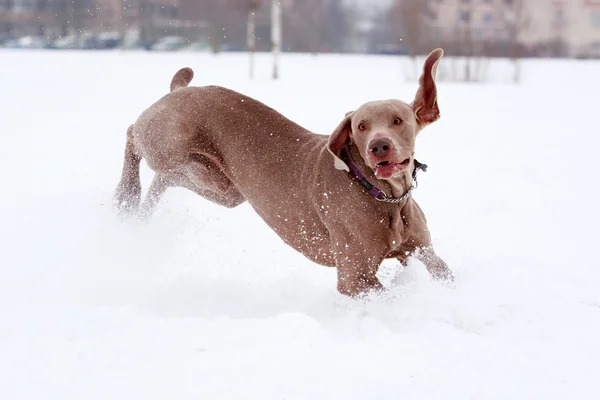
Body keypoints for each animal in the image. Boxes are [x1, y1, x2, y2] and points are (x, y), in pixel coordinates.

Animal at [115, 48, 454, 296]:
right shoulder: (355, 277)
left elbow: (444, 273)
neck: (385, 197)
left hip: (221, 185)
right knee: (132, 133)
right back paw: (125, 196)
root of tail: (179, 90)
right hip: (167, 142)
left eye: (398, 120)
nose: (379, 146)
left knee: (166, 178)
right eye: (361, 126)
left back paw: (138, 213)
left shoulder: (423, 251)